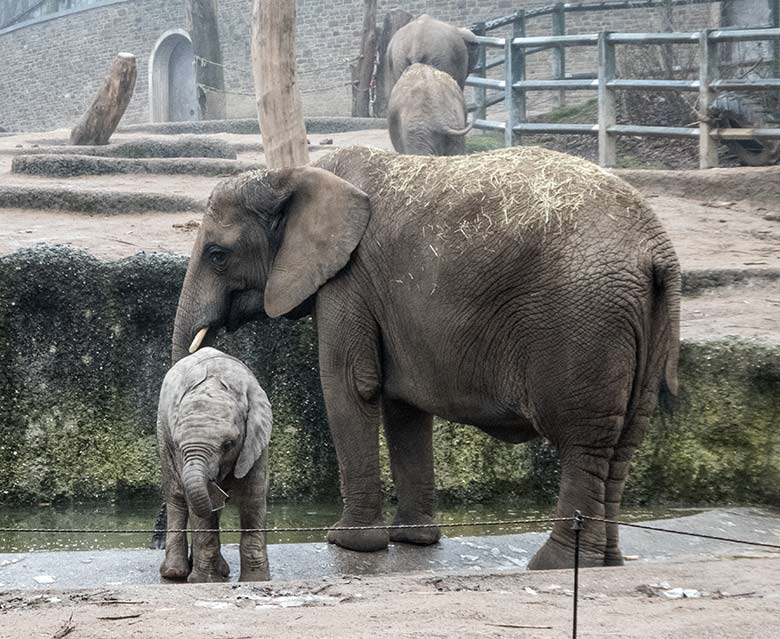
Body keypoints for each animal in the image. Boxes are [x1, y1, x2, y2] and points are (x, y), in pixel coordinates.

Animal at [155, 348, 272, 584]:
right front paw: (205, 582)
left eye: (228, 444)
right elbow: (197, 507)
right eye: (179, 444)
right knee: (176, 496)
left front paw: (255, 580)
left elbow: (253, 498)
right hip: (162, 432)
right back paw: (174, 573)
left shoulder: (256, 442)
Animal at [174, 148, 680, 572]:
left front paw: (348, 542)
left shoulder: (349, 279)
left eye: (217, 255)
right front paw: (413, 540)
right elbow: (403, 402)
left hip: (584, 322)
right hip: (641, 324)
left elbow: (349, 383)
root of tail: (658, 249)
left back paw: (554, 564)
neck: (292, 173)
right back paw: (607, 561)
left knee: (583, 442)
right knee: (625, 440)